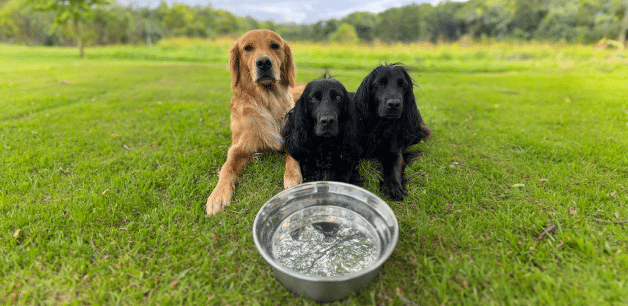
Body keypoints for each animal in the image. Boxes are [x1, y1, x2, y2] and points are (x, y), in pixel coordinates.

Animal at [354, 63, 432, 200]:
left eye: (402, 85)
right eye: (380, 84)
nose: (394, 104)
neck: (378, 125)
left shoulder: (394, 152)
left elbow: (393, 167)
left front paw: (393, 187)